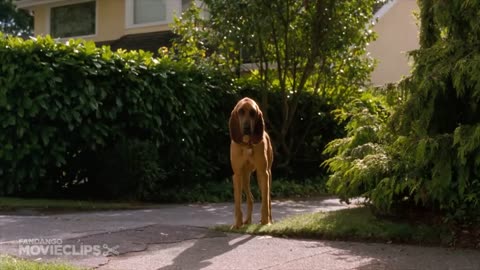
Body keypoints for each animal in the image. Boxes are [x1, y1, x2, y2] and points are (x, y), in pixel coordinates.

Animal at [230, 97, 274, 228]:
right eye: (240, 112)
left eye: (253, 113)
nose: (246, 128)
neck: (247, 144)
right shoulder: (237, 175)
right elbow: (238, 203)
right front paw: (237, 224)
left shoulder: (263, 173)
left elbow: (265, 201)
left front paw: (265, 222)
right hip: (245, 178)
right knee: (250, 198)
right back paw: (247, 221)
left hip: (266, 175)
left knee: (268, 199)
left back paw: (269, 220)